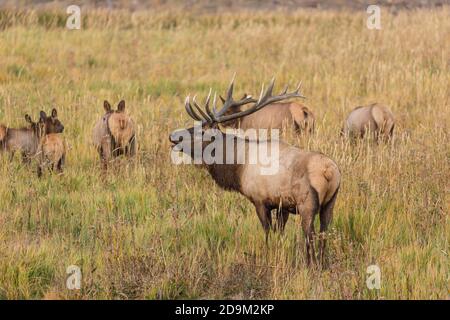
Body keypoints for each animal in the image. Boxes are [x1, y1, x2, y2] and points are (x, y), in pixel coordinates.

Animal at [170, 79, 342, 266]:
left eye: (201, 131)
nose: (173, 136)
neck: (238, 167)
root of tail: (329, 171)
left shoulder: (260, 200)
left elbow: (267, 232)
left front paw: (267, 255)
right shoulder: (282, 205)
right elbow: (279, 233)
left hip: (307, 203)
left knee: (310, 235)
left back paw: (311, 265)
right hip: (330, 203)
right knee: (324, 234)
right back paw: (322, 263)